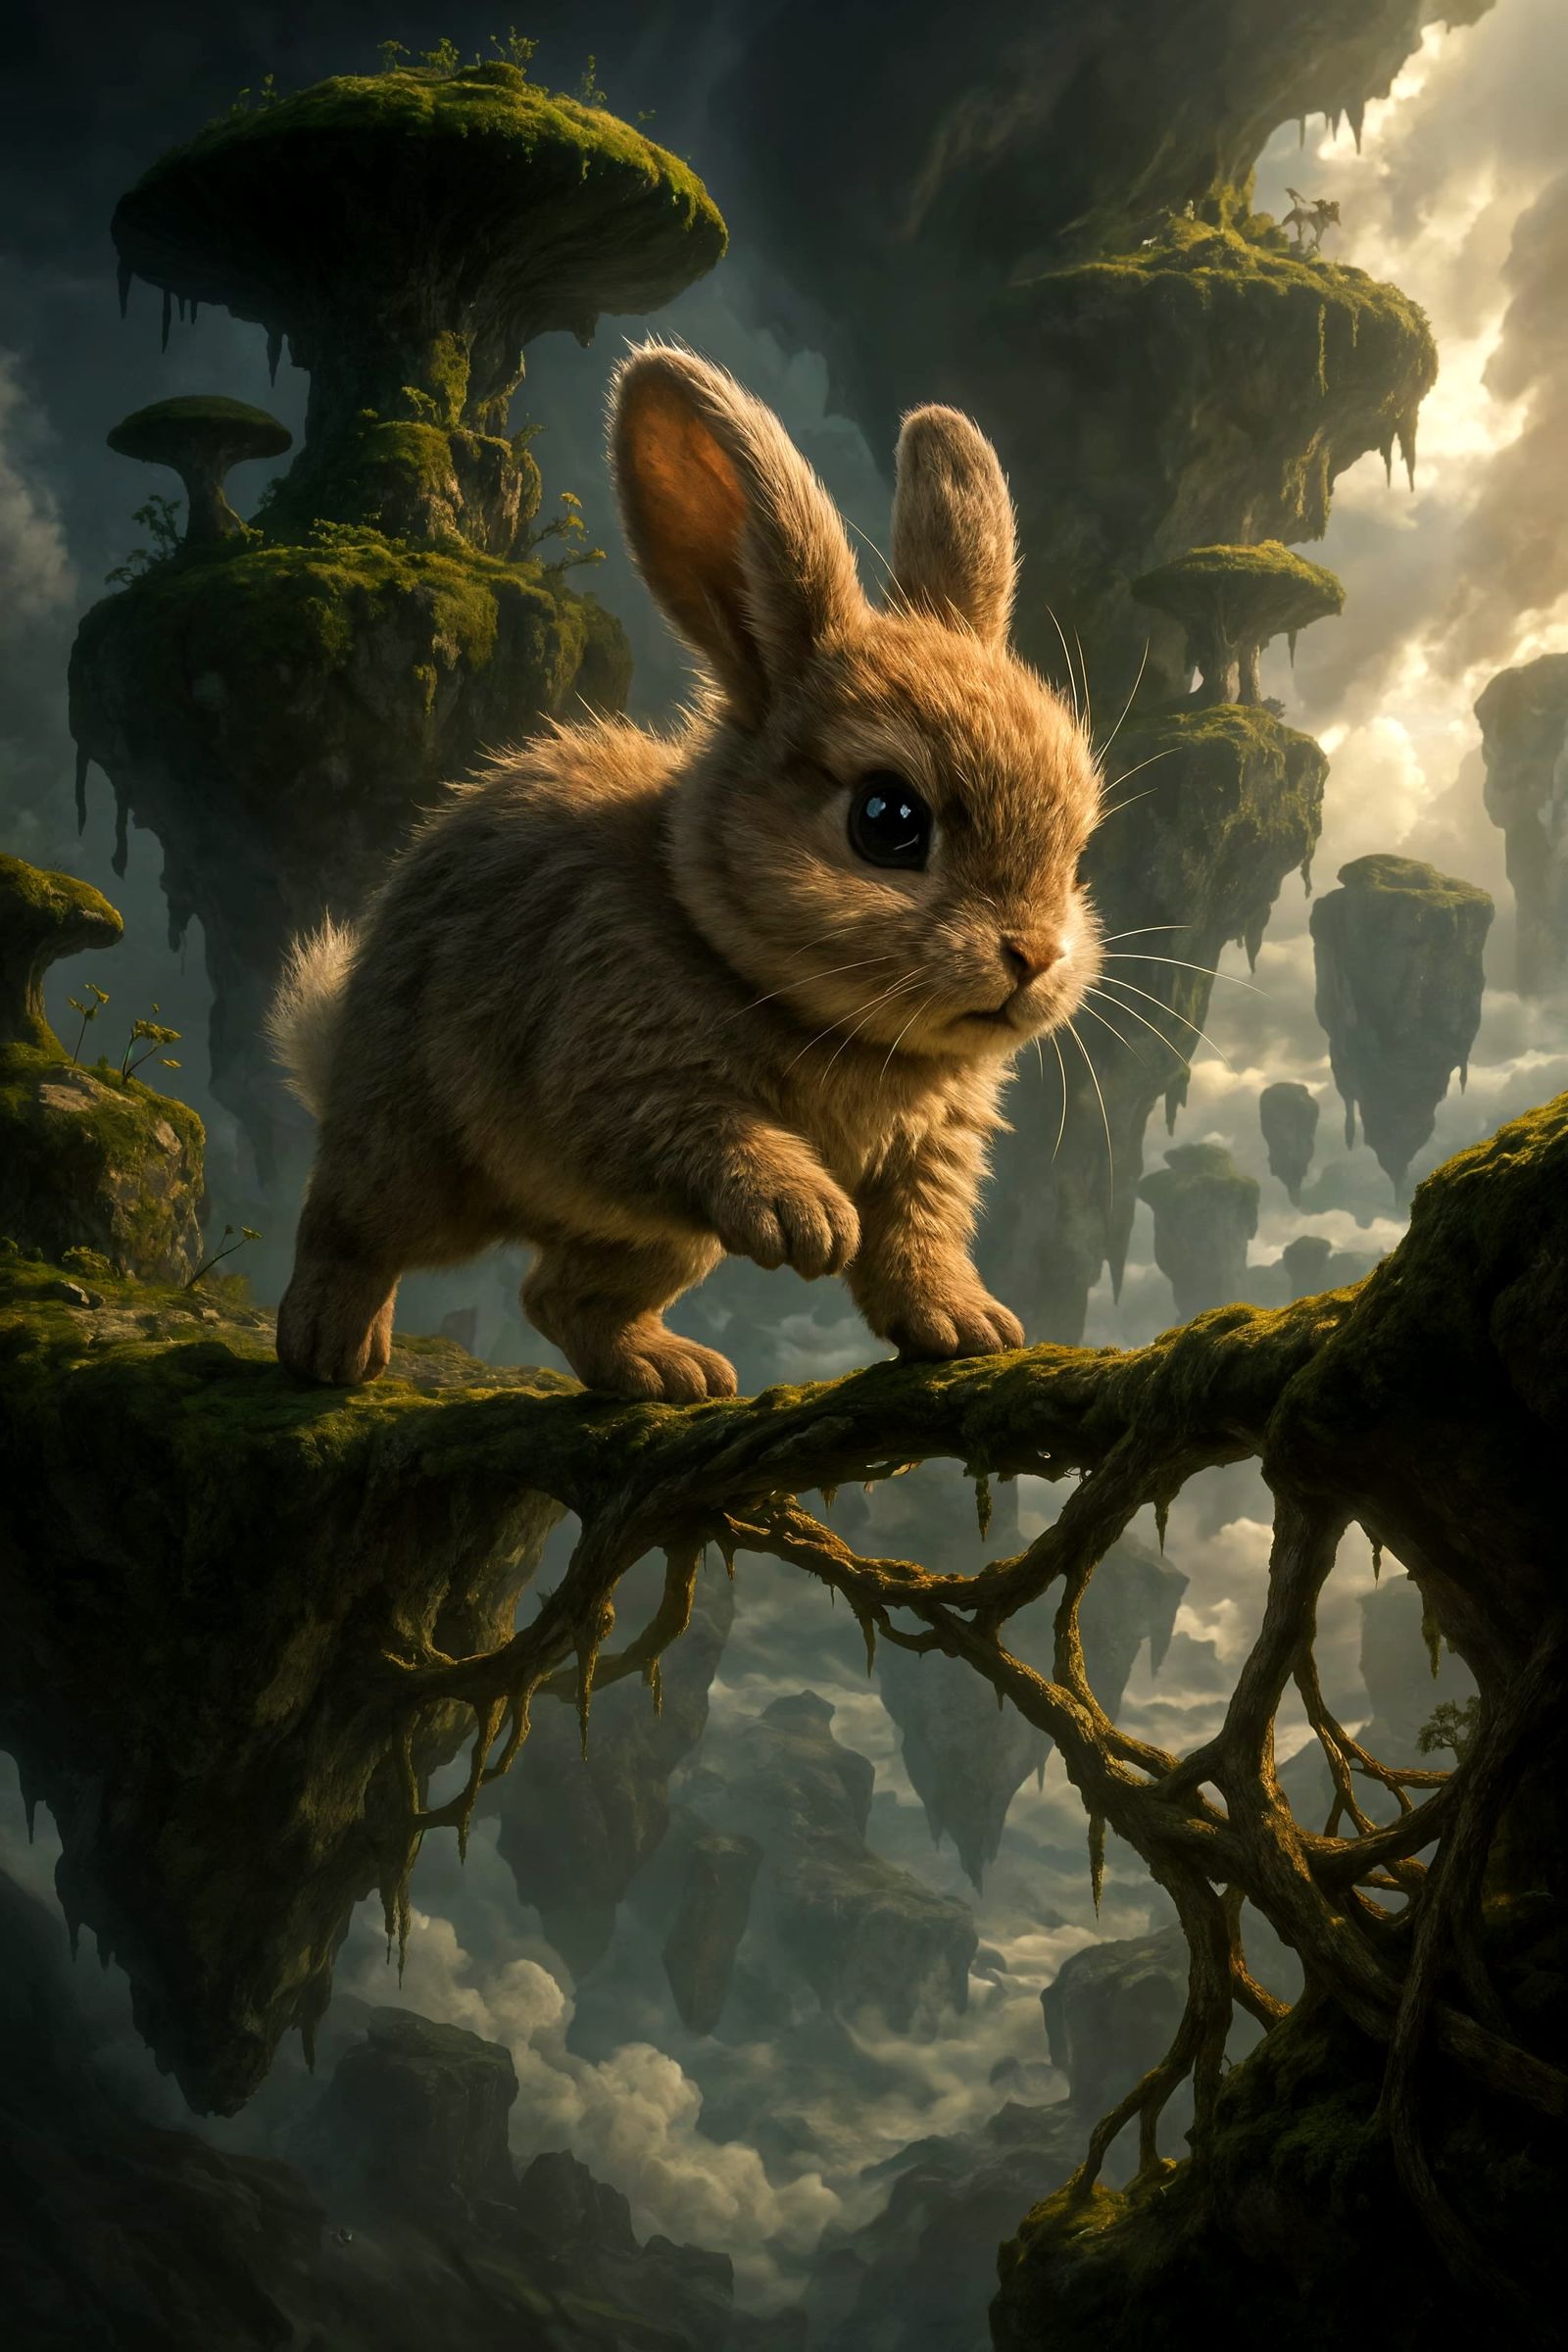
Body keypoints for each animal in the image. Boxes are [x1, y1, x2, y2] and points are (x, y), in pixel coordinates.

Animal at [268, 342, 1105, 1403]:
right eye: (889, 821)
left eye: (1076, 849)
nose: (1033, 957)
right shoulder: (620, 1068)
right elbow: (716, 1134)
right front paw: (808, 1221)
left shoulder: (929, 1158)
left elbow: (915, 1246)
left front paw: (967, 1327)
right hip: (414, 1156)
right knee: (347, 1227)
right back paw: (330, 1352)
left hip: (652, 1242)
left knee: (559, 1296)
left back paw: (667, 1372)